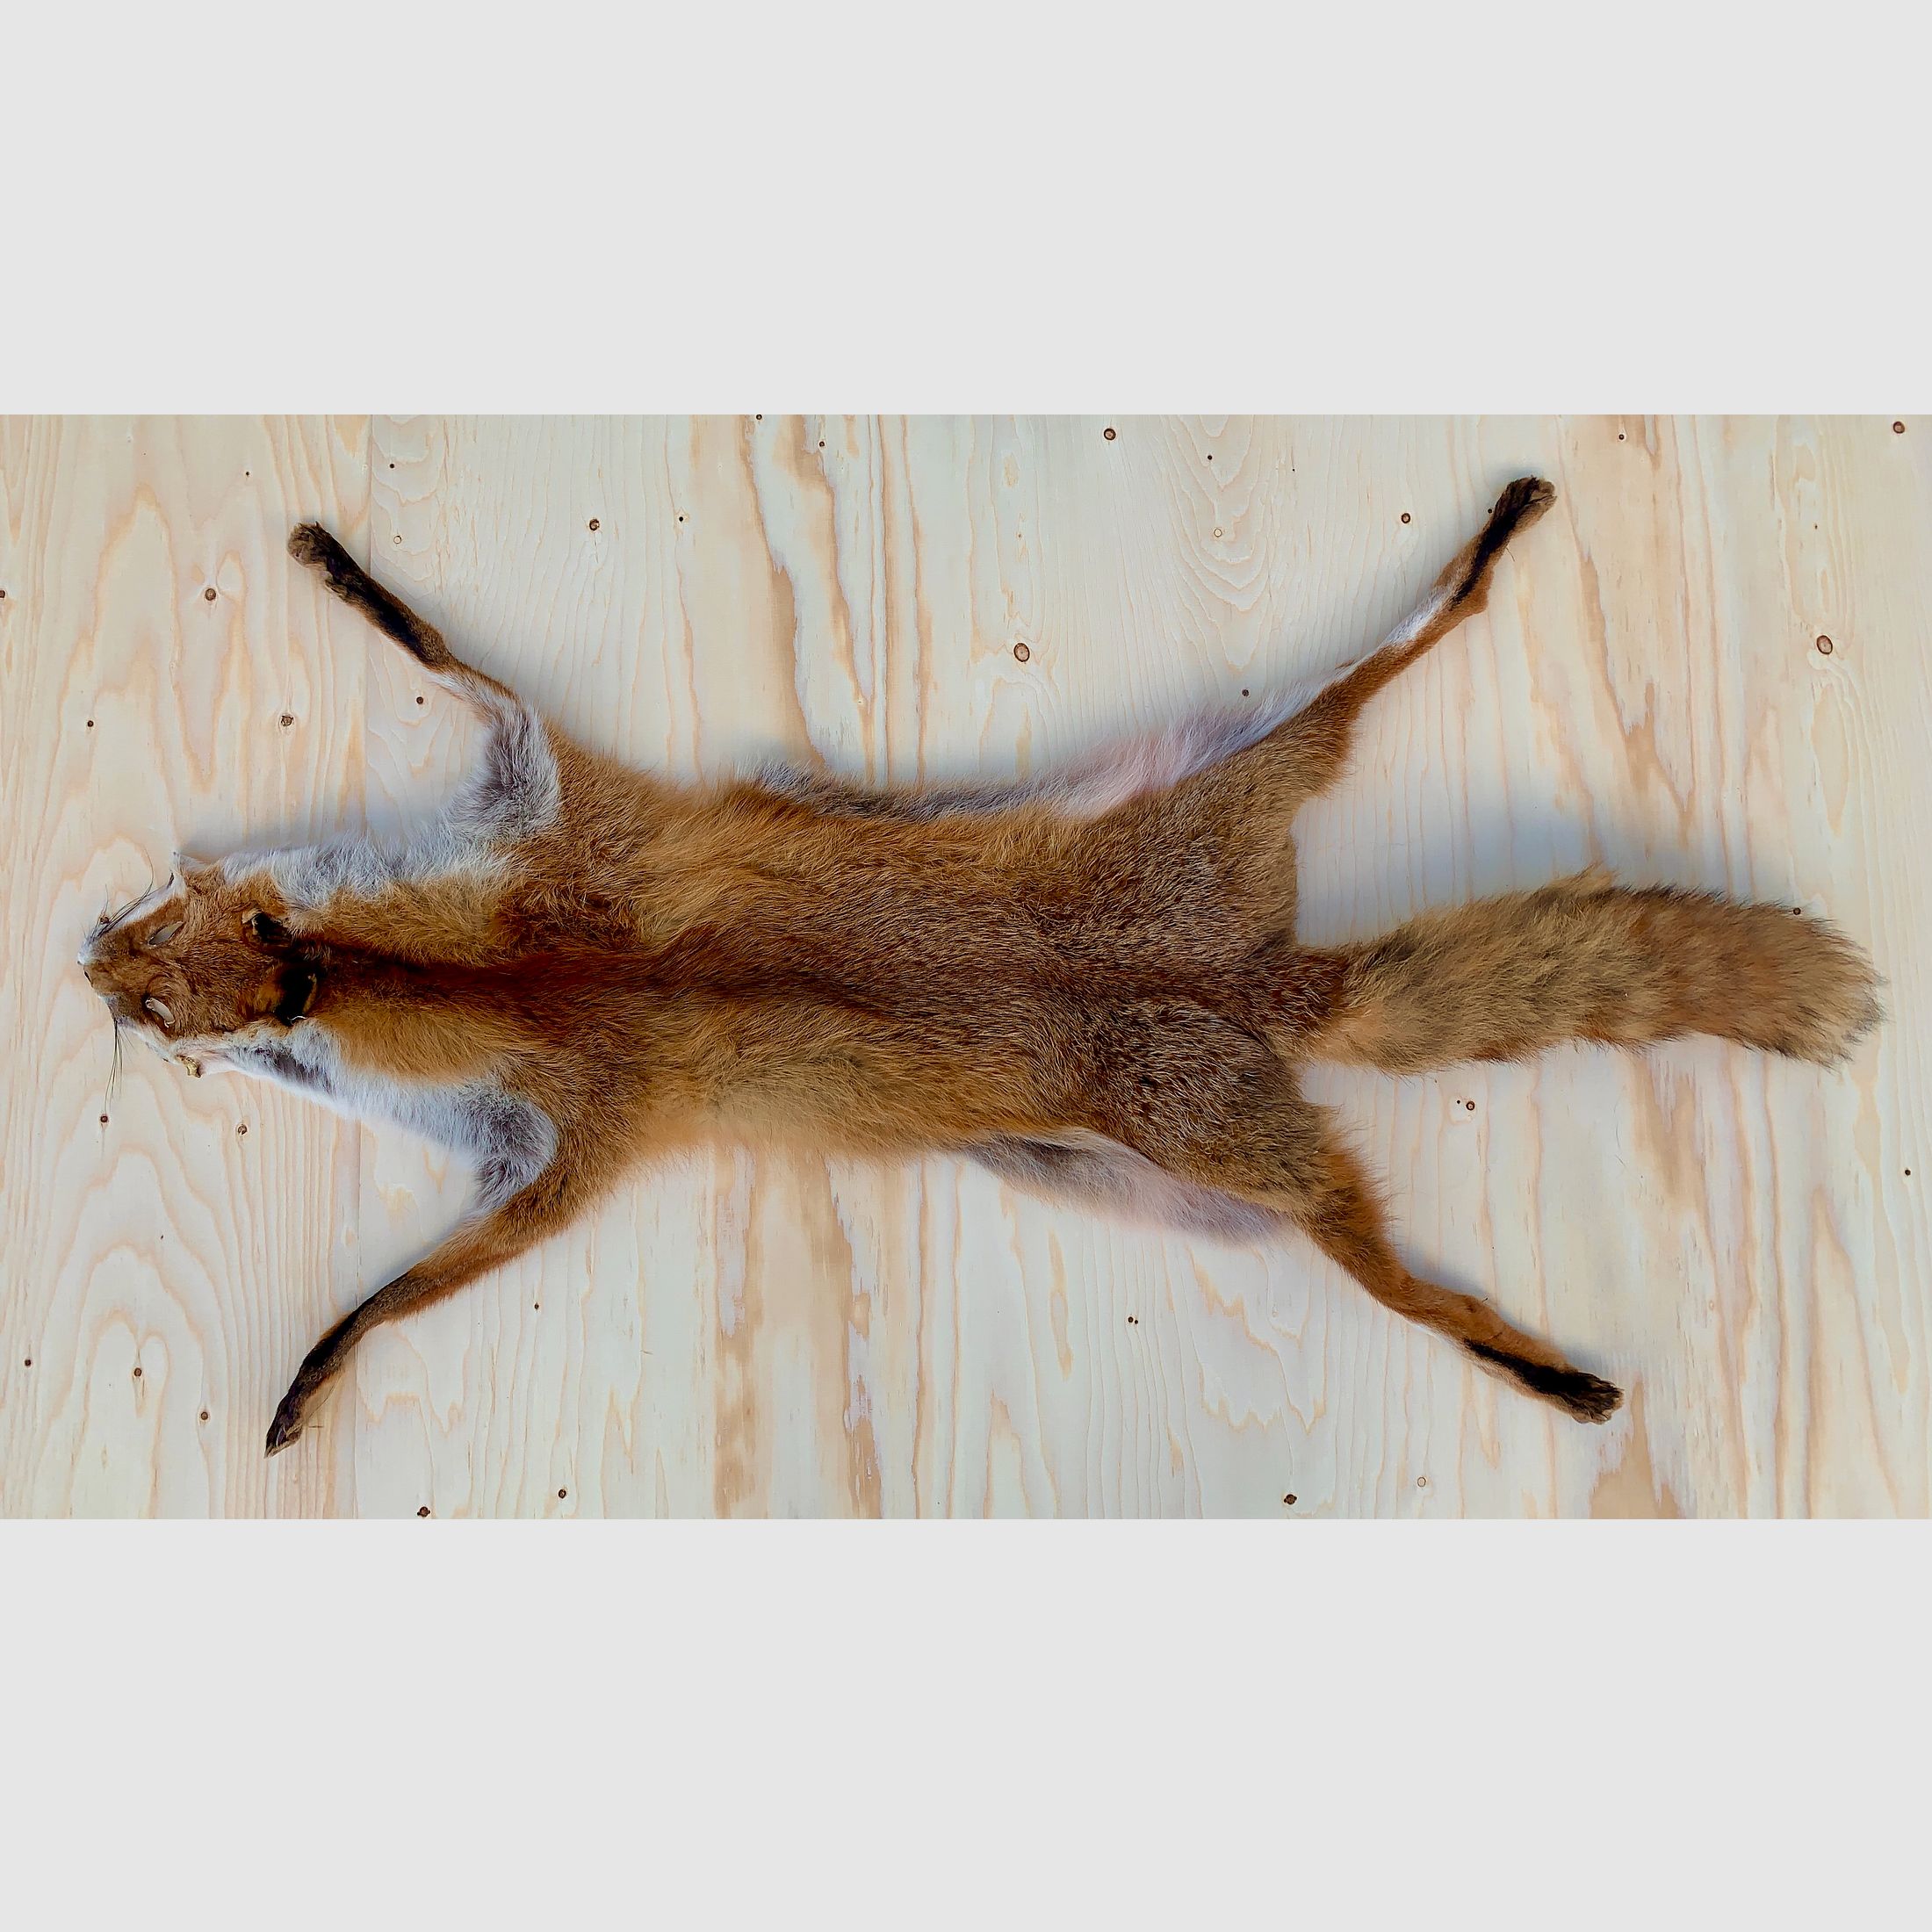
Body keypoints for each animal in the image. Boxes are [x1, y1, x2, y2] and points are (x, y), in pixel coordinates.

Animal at [77, 478, 1881, 1454]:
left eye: (163, 1013)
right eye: (162, 922)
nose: (83, 957)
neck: (483, 976)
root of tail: (1269, 986)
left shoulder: (569, 1097)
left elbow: (400, 1297)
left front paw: (313, 1378)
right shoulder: (556, 837)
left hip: (1254, 1149)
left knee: (1394, 1268)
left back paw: (1546, 1372)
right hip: (1213, 918)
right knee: (1383, 680)